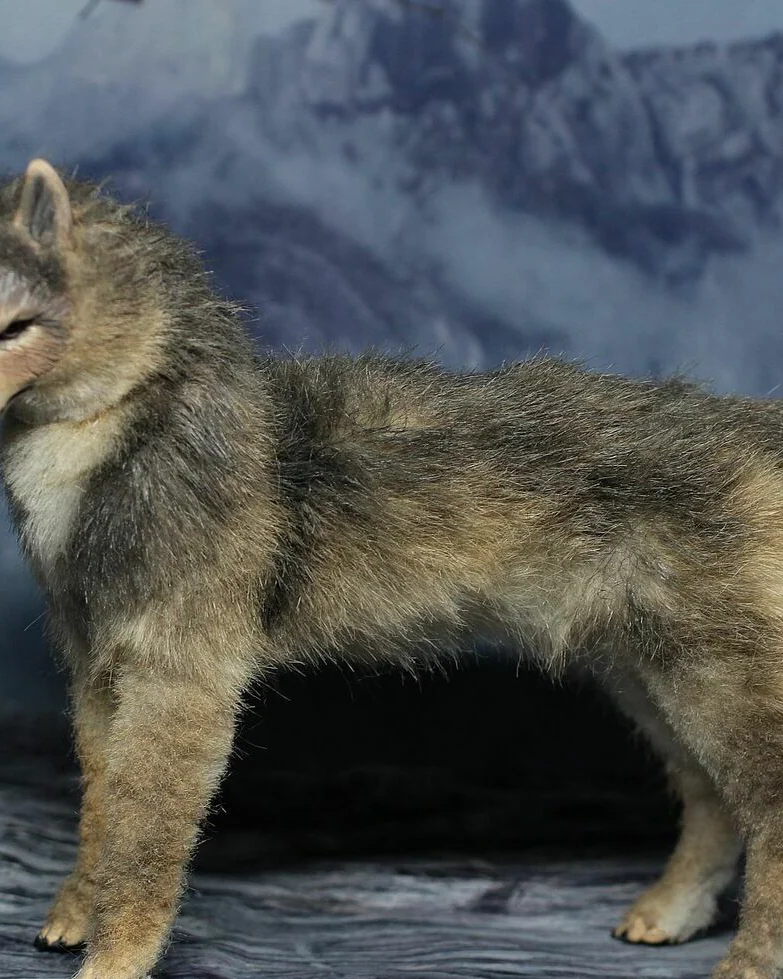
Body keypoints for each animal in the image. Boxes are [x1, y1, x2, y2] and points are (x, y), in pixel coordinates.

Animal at [0, 158, 781, 979]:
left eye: (17, 323)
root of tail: (760, 436)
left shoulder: (182, 684)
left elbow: (146, 838)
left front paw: (112, 959)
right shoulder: (96, 672)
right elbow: (100, 807)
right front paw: (73, 917)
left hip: (716, 680)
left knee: (768, 813)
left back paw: (748, 959)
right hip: (647, 676)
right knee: (712, 800)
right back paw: (669, 913)